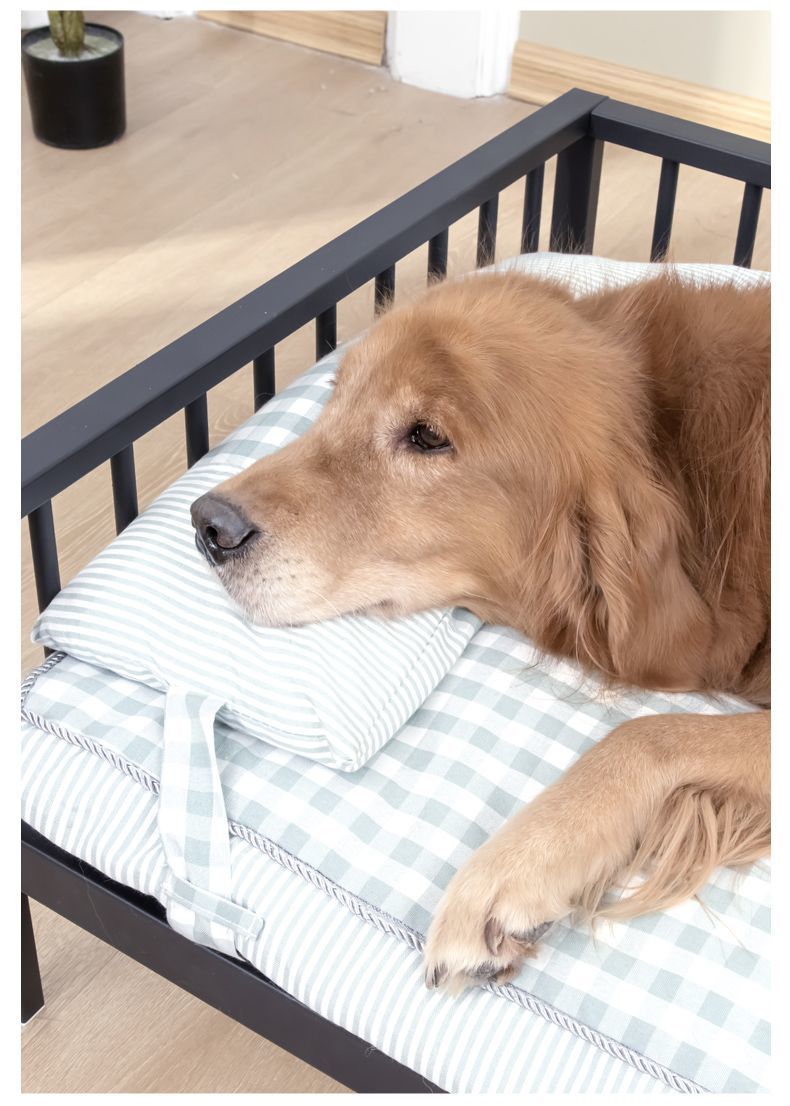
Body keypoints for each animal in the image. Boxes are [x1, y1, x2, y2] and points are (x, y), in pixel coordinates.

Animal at [192, 268, 770, 993]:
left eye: (427, 436)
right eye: (338, 397)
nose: (208, 524)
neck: (687, 462)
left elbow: (646, 733)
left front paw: (514, 865)